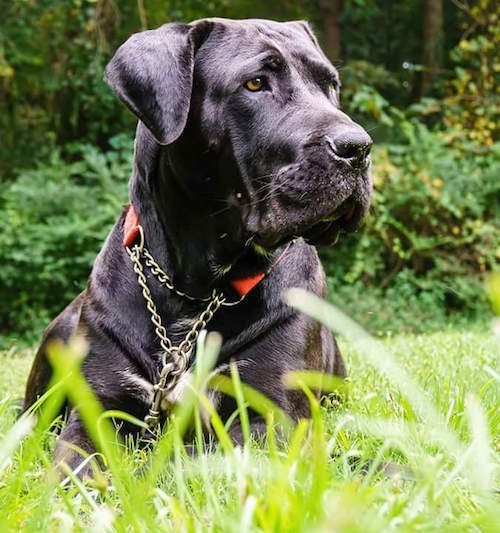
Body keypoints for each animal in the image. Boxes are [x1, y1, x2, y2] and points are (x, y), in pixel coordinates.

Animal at [24, 18, 372, 472]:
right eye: (255, 83)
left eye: (330, 84)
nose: (357, 148)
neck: (197, 288)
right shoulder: (95, 414)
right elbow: (78, 465)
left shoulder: (271, 420)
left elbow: (183, 457)